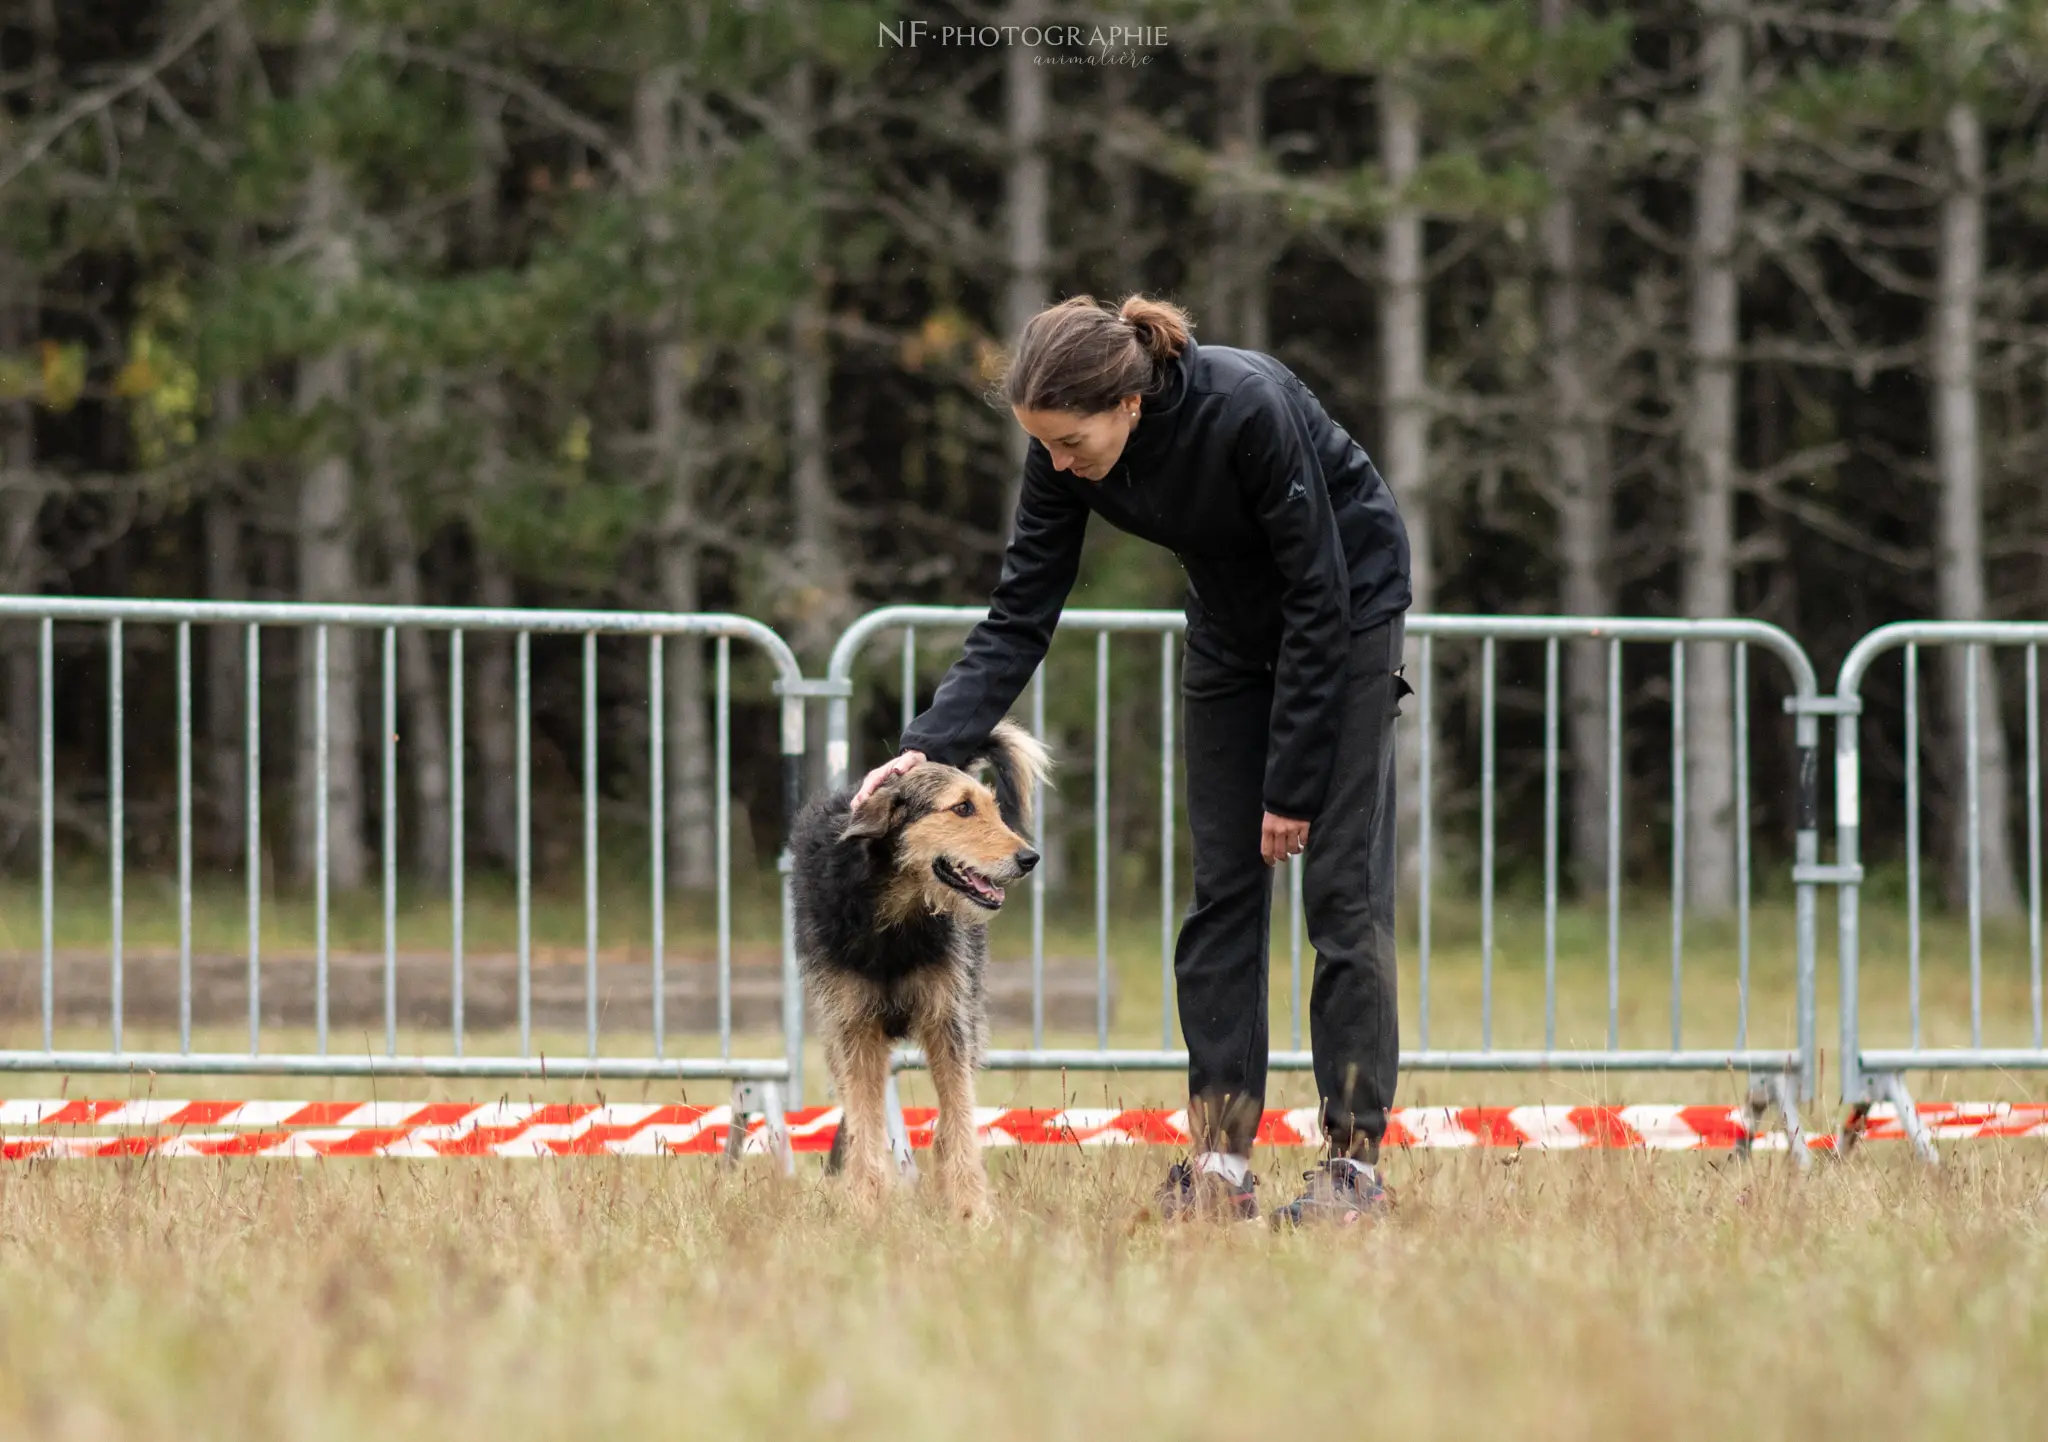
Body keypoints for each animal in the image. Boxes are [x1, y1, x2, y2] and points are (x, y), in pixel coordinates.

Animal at [782, 721, 1040, 1212]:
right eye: (962, 808)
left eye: (992, 808)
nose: (1029, 859)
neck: (893, 918)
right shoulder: (854, 1027)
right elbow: (864, 1120)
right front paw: (865, 1206)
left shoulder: (948, 1019)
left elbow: (958, 1116)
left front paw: (971, 1209)